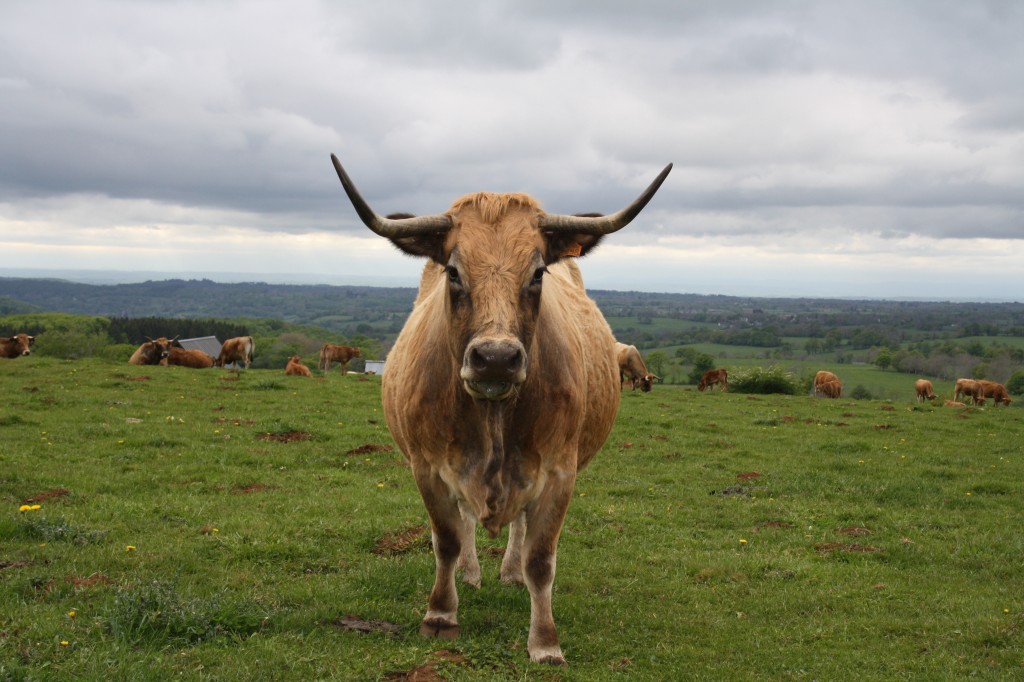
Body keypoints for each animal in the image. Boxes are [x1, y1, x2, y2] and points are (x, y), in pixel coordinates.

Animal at [331, 151, 675, 659]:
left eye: (537, 273)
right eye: (454, 271)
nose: (495, 358)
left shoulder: (559, 472)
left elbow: (541, 559)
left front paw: (545, 642)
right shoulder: (427, 467)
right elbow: (447, 540)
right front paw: (440, 615)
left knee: (519, 530)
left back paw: (508, 572)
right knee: (466, 522)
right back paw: (471, 574)